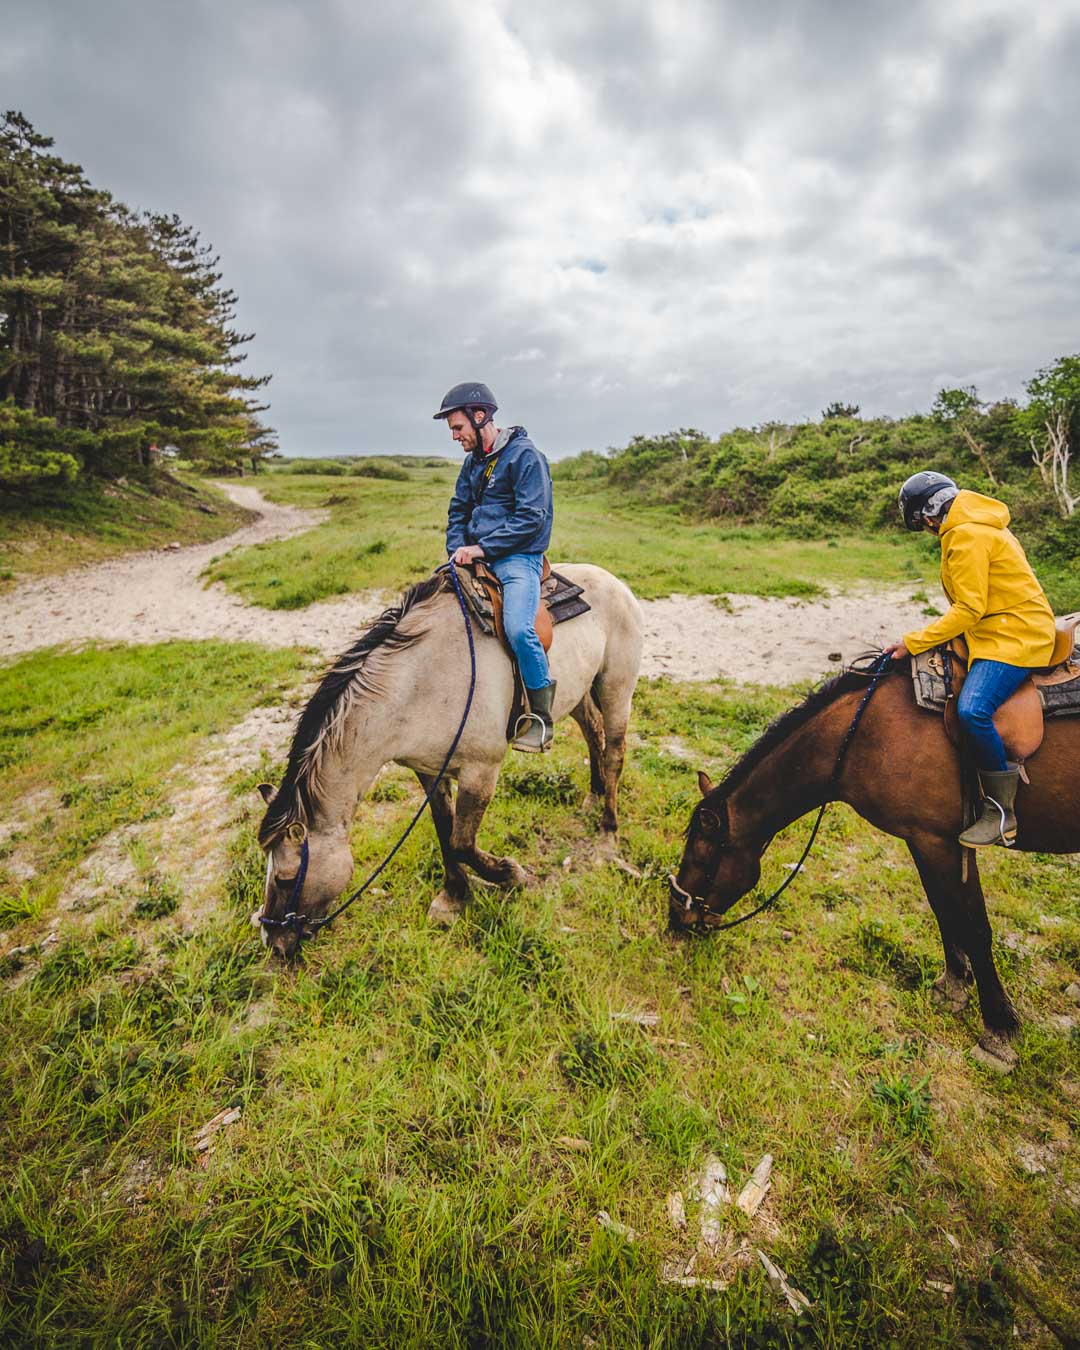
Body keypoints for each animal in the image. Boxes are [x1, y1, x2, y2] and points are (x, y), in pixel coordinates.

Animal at [253, 564, 642, 955]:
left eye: (286, 879)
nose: (273, 941)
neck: (418, 683)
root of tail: (613, 581)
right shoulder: (429, 771)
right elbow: (445, 830)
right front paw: (454, 896)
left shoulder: (480, 771)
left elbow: (461, 842)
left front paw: (512, 875)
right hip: (579, 692)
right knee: (593, 732)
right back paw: (592, 796)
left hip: (616, 688)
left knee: (614, 754)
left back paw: (608, 836)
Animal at [666, 658, 1080, 1069]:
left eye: (701, 857)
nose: (675, 919)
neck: (861, 737)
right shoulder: (924, 840)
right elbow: (944, 912)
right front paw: (952, 987)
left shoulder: (944, 842)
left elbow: (975, 928)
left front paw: (998, 1029)